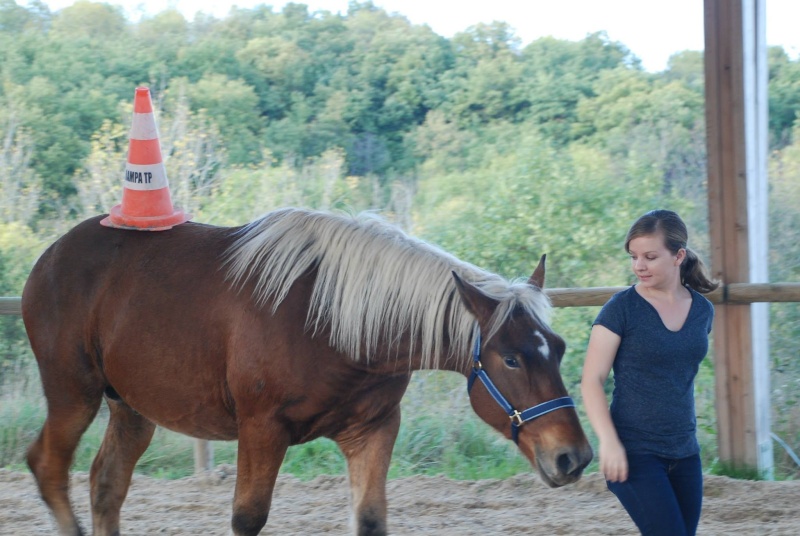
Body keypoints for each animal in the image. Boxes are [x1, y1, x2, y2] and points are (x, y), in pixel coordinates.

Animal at [21, 207, 592, 532]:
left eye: (559, 348)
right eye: (511, 357)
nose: (574, 456)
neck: (335, 322)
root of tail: (51, 257)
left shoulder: (373, 431)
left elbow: (370, 519)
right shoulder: (261, 432)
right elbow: (247, 519)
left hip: (131, 409)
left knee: (106, 485)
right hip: (74, 394)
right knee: (48, 467)